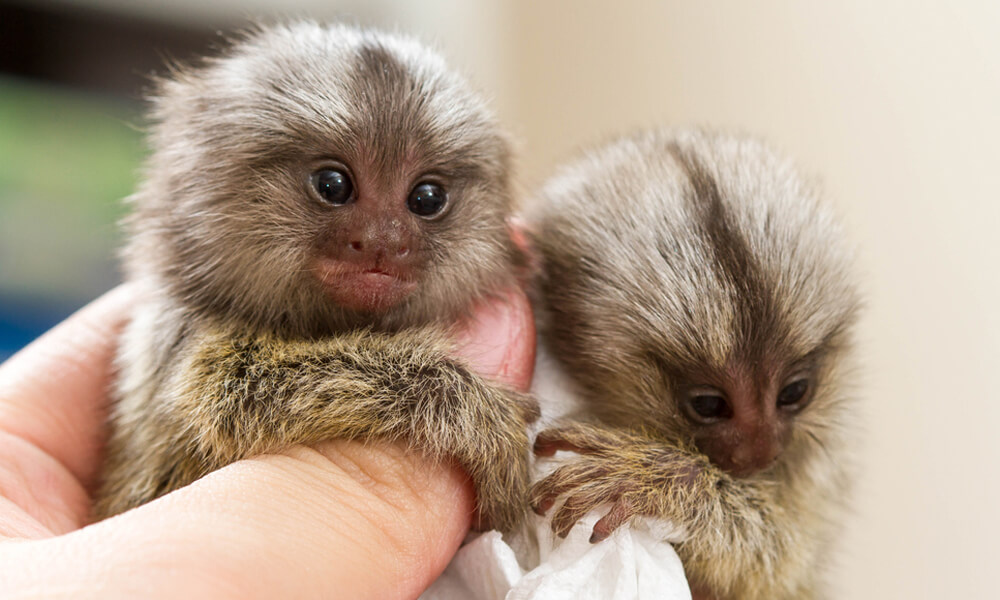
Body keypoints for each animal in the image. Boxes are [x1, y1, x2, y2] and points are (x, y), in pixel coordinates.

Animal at [96, 21, 536, 532]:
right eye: (333, 185)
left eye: (426, 198)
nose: (383, 241)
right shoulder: (184, 338)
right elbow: (233, 396)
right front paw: (474, 409)